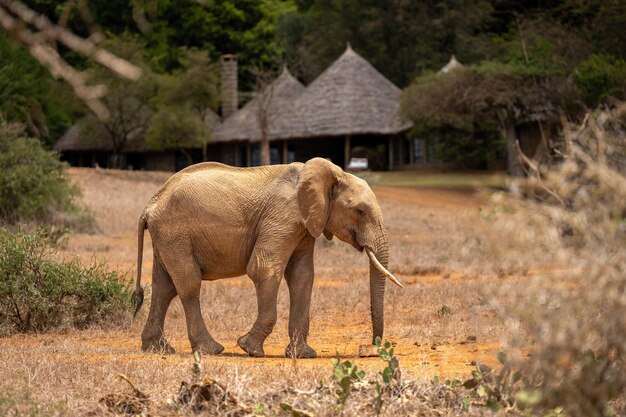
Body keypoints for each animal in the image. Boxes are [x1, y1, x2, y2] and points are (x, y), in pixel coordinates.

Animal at [133, 157, 402, 358]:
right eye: (360, 211)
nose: (369, 348)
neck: (332, 173)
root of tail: (150, 204)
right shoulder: (282, 217)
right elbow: (264, 269)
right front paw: (249, 348)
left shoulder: (305, 227)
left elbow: (302, 276)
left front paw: (301, 355)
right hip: (174, 233)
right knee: (188, 284)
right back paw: (211, 349)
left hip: (167, 237)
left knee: (164, 287)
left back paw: (158, 349)